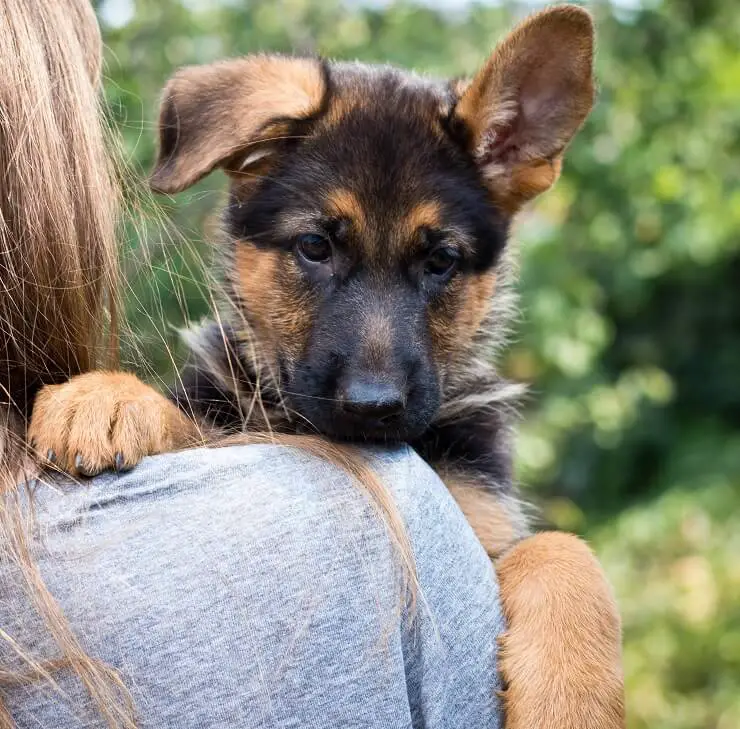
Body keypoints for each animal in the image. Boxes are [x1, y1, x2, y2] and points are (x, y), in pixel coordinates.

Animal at [28, 7, 624, 728]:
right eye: (314, 246)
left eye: (442, 260)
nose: (374, 407)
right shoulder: (234, 412)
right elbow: (196, 418)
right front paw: (105, 399)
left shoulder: (483, 518)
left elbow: (562, 547)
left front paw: (575, 695)